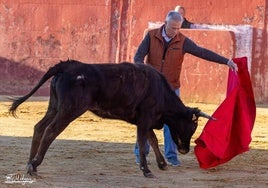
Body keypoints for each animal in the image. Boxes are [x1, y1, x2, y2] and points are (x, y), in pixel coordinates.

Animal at [8, 59, 214, 178]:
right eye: (192, 126)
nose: (185, 149)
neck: (161, 91)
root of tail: (69, 65)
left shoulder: (145, 121)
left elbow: (153, 140)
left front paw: (162, 164)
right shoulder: (145, 119)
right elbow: (143, 142)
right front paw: (146, 170)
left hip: (55, 106)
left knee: (39, 127)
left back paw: (31, 165)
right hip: (69, 110)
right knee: (50, 131)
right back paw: (34, 164)